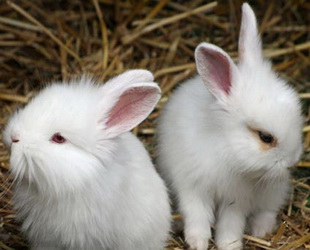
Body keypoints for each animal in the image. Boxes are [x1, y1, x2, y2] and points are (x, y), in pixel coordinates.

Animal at [156, 3, 302, 250]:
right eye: (265, 137)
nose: (293, 161)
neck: (226, 148)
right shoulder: (193, 187)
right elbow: (197, 216)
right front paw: (197, 242)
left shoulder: (237, 199)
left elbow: (231, 224)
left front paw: (229, 245)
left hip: (274, 190)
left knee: (268, 210)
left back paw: (260, 230)